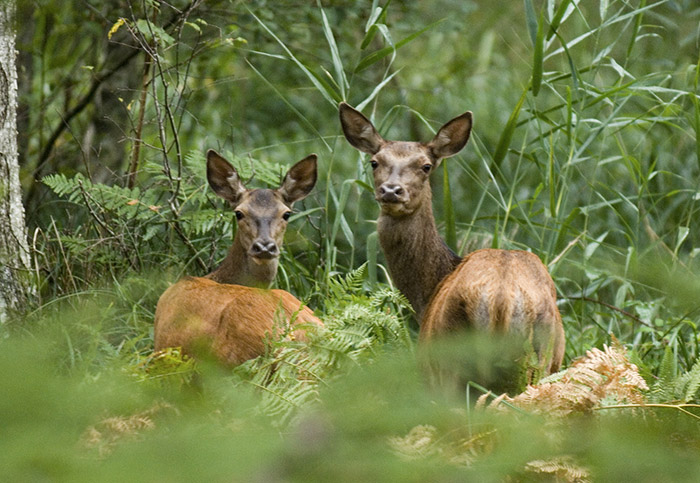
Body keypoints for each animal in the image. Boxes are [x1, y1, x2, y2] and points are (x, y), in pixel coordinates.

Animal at [338, 102, 564, 386]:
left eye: (426, 166)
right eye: (374, 162)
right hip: (538, 360)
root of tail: (501, 300)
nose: (391, 190)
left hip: (449, 358)